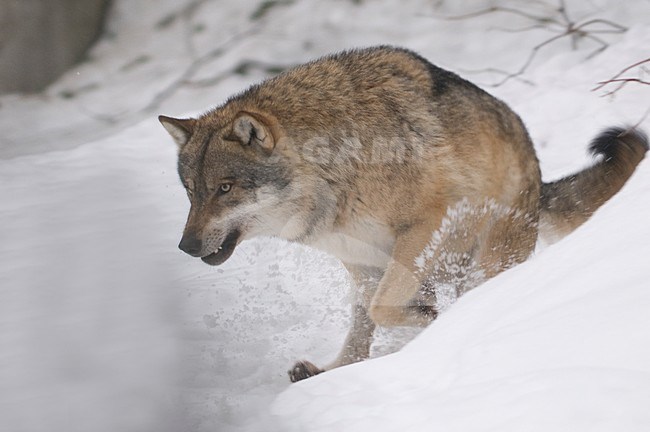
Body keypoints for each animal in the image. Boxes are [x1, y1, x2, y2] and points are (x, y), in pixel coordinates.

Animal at [158, 46, 648, 382]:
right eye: (191, 192)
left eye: (224, 189)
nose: (184, 246)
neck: (335, 170)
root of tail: (538, 177)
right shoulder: (360, 260)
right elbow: (369, 321)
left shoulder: (426, 223)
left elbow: (384, 309)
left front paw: (433, 320)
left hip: (483, 256)